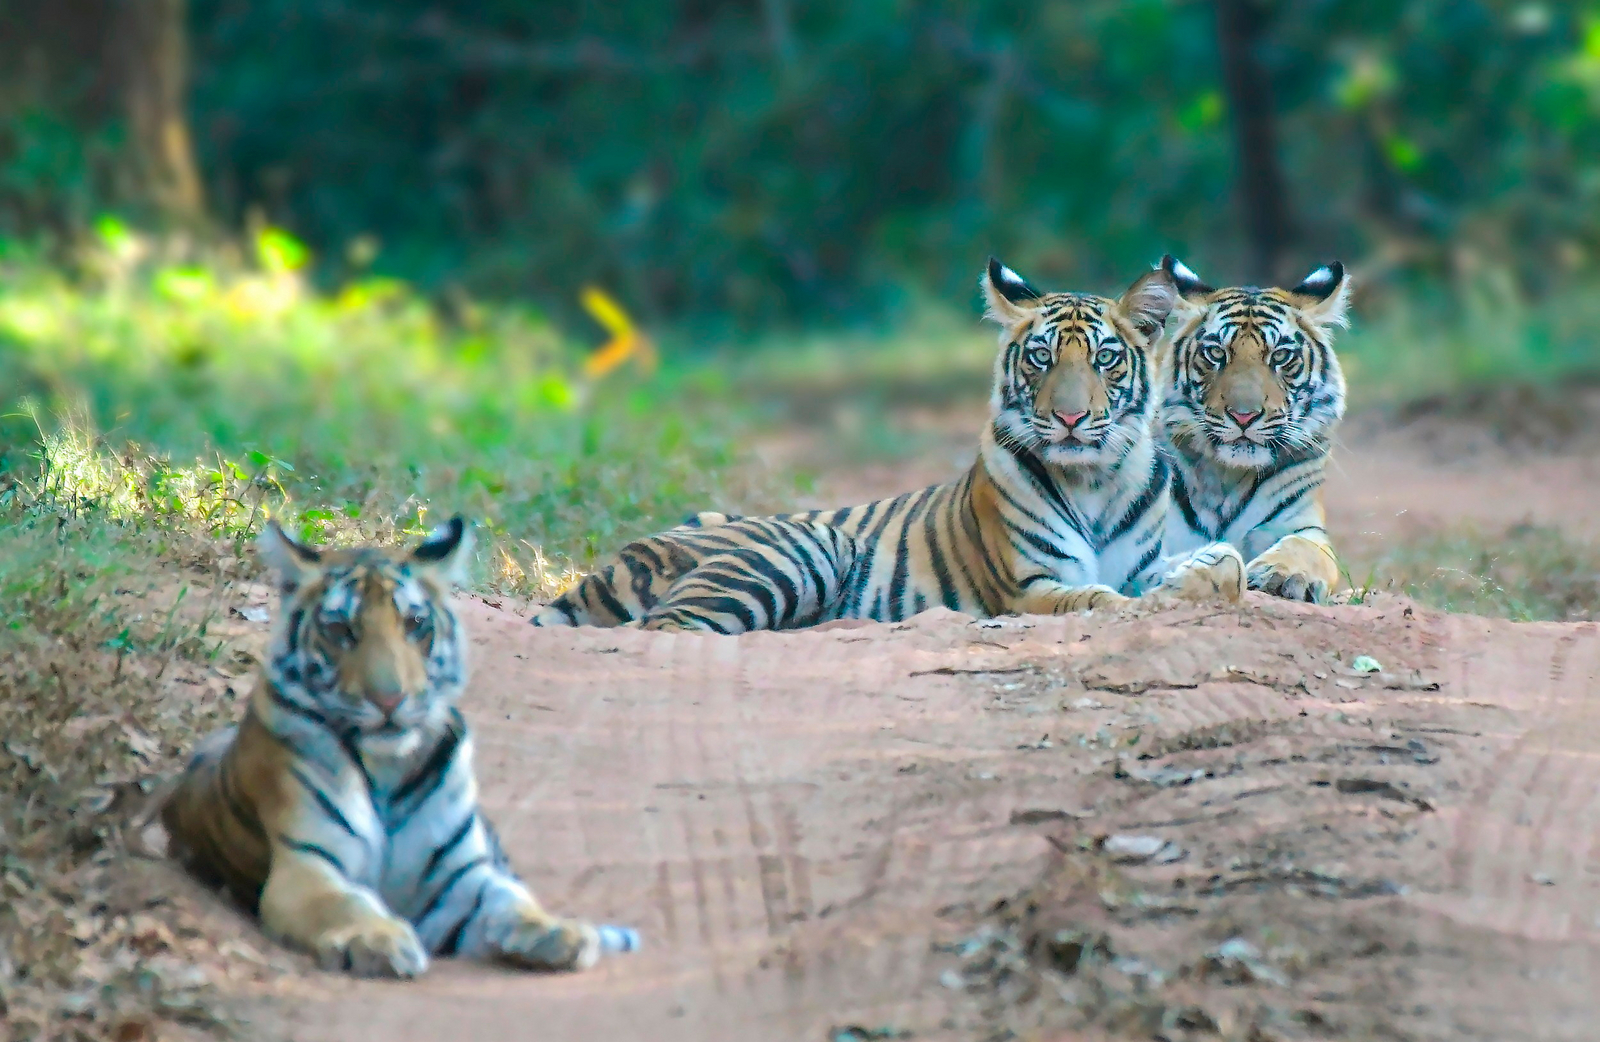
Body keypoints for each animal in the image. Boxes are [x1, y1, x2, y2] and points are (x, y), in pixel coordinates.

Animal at [162, 517, 634, 977]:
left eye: (414, 624)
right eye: (341, 630)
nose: (389, 699)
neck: (387, 770)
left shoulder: (461, 878)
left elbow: (511, 898)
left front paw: (560, 932)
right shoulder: (306, 868)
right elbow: (346, 904)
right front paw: (377, 939)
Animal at [532, 259, 1245, 634]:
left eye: (1104, 359)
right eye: (1041, 358)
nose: (1069, 418)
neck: (1095, 479)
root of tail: (615, 561)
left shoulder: (1139, 557)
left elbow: (1223, 562)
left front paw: (1206, 578)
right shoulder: (1028, 587)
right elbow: (1096, 598)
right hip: (804, 546)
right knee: (667, 629)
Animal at [1156, 255, 1351, 604]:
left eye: (1281, 356)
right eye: (1216, 353)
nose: (1243, 416)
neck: (1228, 478)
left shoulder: (1302, 525)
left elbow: (1305, 549)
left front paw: (1282, 575)